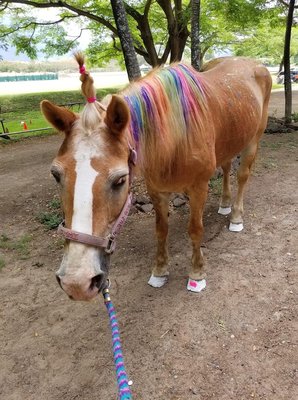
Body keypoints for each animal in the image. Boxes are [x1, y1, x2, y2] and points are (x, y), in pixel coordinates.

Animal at [40, 54, 272, 302]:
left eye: (120, 180)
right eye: (56, 174)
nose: (77, 282)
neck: (176, 136)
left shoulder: (199, 187)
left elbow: (195, 229)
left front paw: (197, 273)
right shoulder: (157, 190)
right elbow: (161, 230)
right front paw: (160, 272)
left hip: (253, 140)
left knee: (242, 175)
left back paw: (236, 217)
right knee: (227, 167)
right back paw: (225, 204)